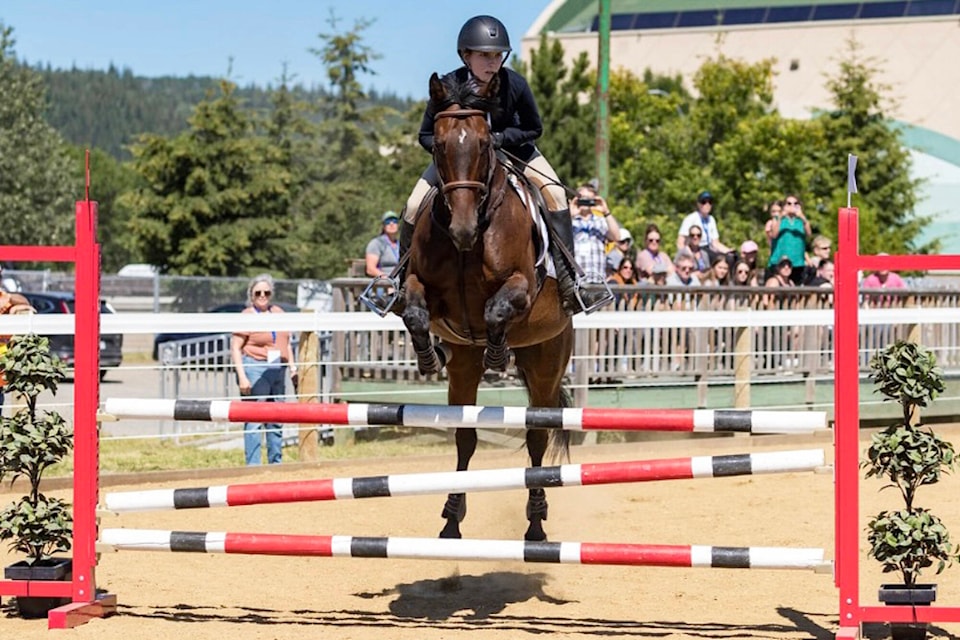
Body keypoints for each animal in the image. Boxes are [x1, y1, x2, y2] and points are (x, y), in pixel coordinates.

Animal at [402, 71, 572, 540]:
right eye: (439, 146)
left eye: (483, 144)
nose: (462, 230)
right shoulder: (420, 287)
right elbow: (413, 311)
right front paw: (427, 357)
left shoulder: (522, 286)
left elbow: (497, 309)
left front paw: (497, 354)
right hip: (464, 366)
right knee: (466, 437)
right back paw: (451, 521)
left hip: (546, 361)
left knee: (536, 437)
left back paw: (536, 523)